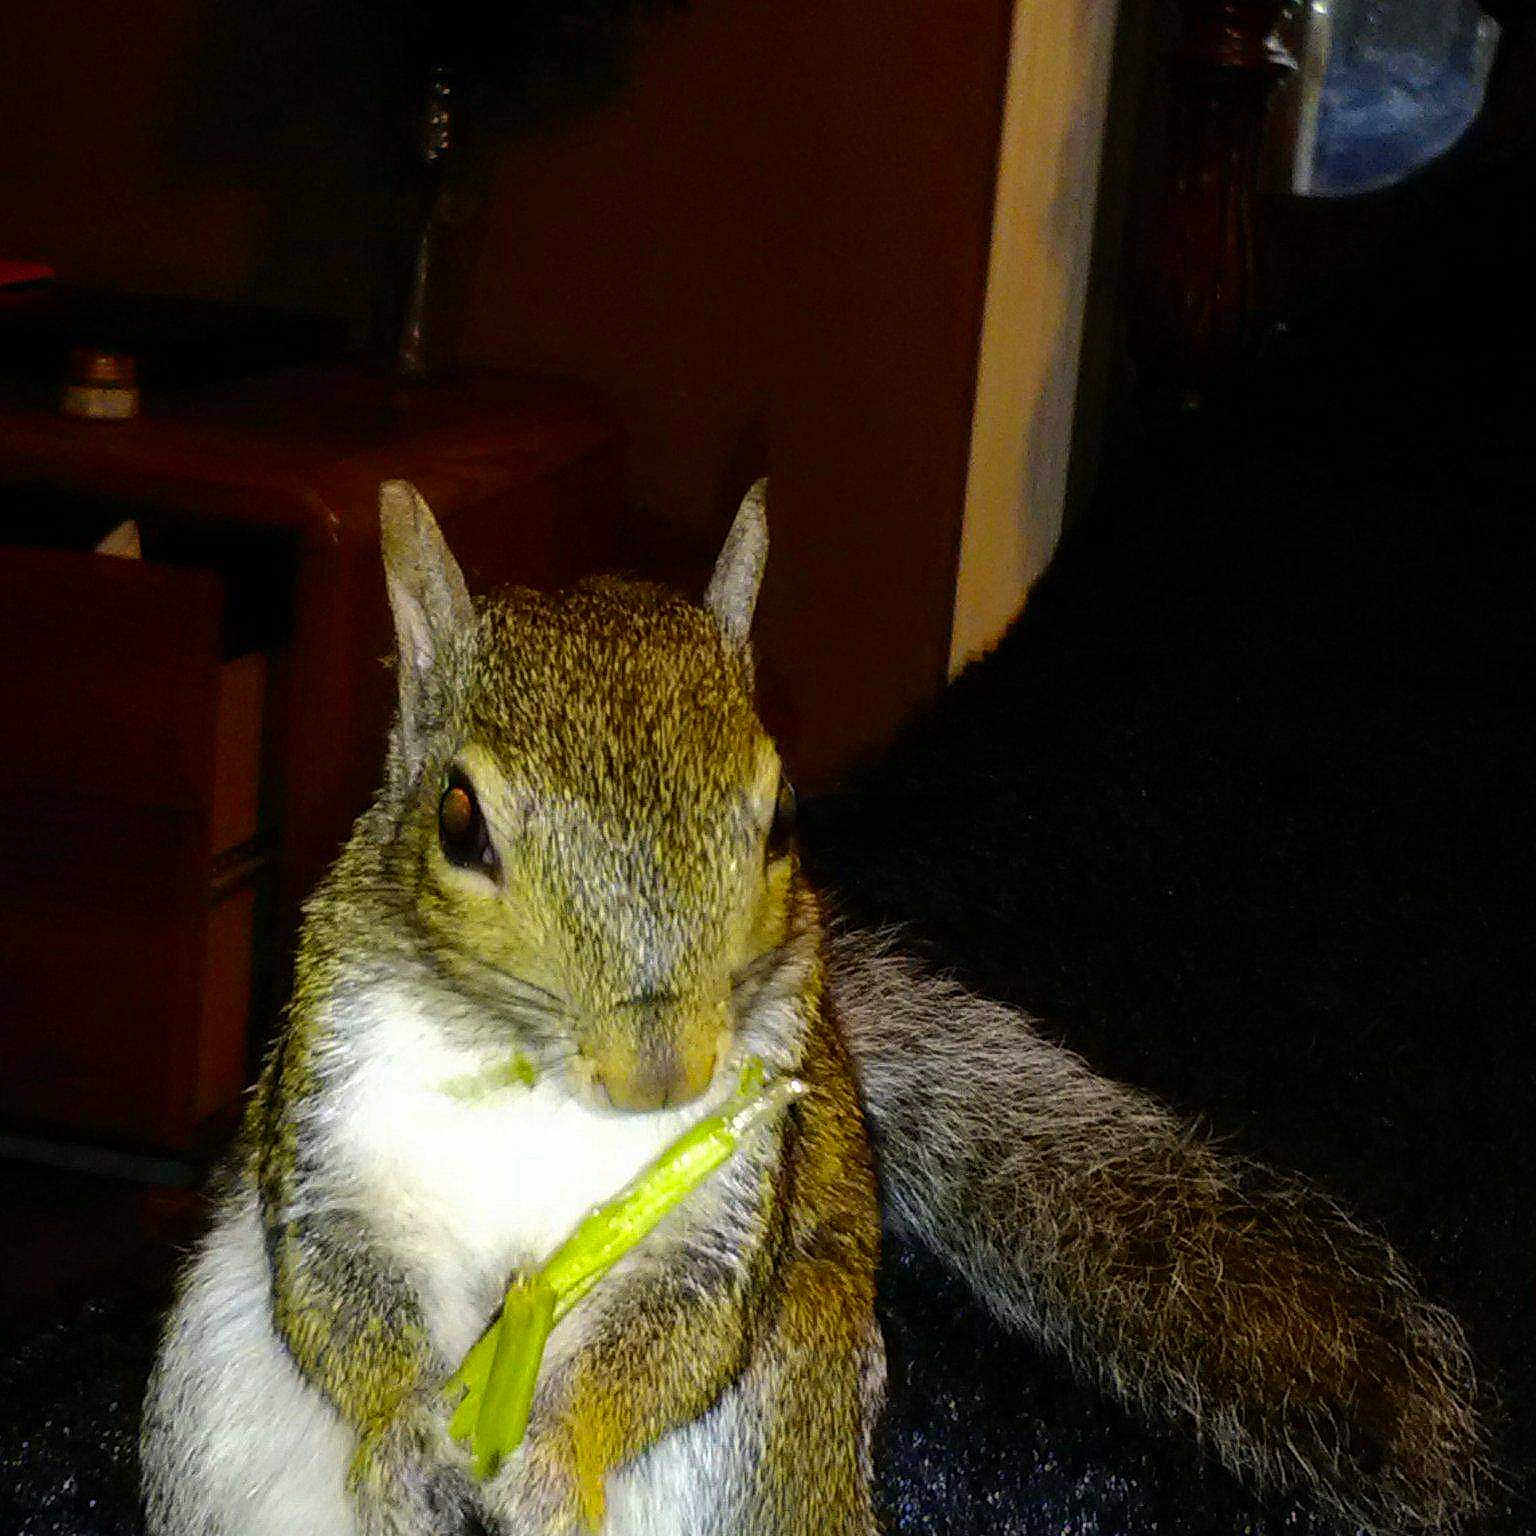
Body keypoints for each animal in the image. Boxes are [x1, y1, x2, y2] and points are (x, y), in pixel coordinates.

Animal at [141, 479, 1485, 1536]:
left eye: (783, 815)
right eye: (458, 822)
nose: (664, 1075)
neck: (531, 1076)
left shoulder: (733, 1185)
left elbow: (681, 1332)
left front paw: (555, 1466)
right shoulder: (333, 1114)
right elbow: (333, 1293)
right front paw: (406, 1445)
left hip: (775, 1429)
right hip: (216, 1410)